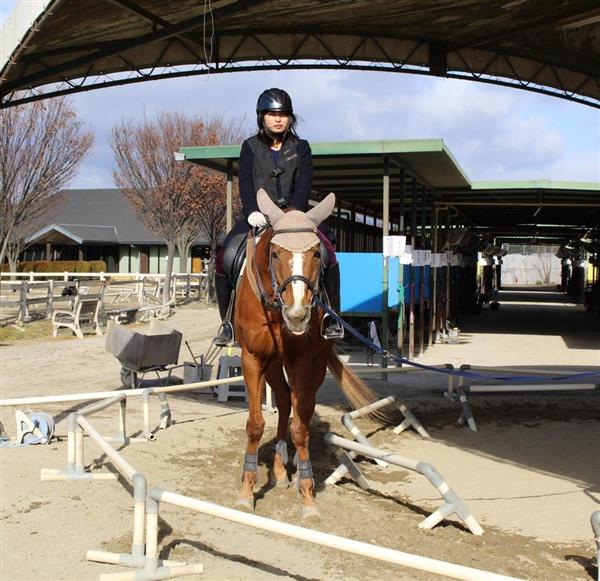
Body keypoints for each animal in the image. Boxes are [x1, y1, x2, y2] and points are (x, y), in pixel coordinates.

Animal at [234, 190, 380, 516]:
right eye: (275, 254)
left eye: (316, 254)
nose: (298, 314)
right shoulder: (253, 359)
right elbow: (254, 425)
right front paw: (246, 491)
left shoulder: (301, 361)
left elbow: (301, 427)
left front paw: (308, 494)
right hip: (273, 364)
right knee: (284, 400)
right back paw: (277, 469)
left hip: (314, 364)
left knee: (301, 406)